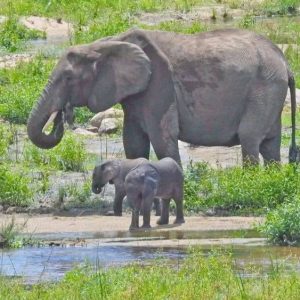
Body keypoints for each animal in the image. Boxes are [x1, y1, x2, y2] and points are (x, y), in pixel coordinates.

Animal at [27, 28, 298, 164]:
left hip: (264, 87)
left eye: (68, 78)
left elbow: (162, 138)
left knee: (250, 138)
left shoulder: (160, 83)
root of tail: (284, 62)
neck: (105, 44)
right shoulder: (135, 96)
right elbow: (133, 144)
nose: (62, 116)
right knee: (270, 146)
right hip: (270, 90)